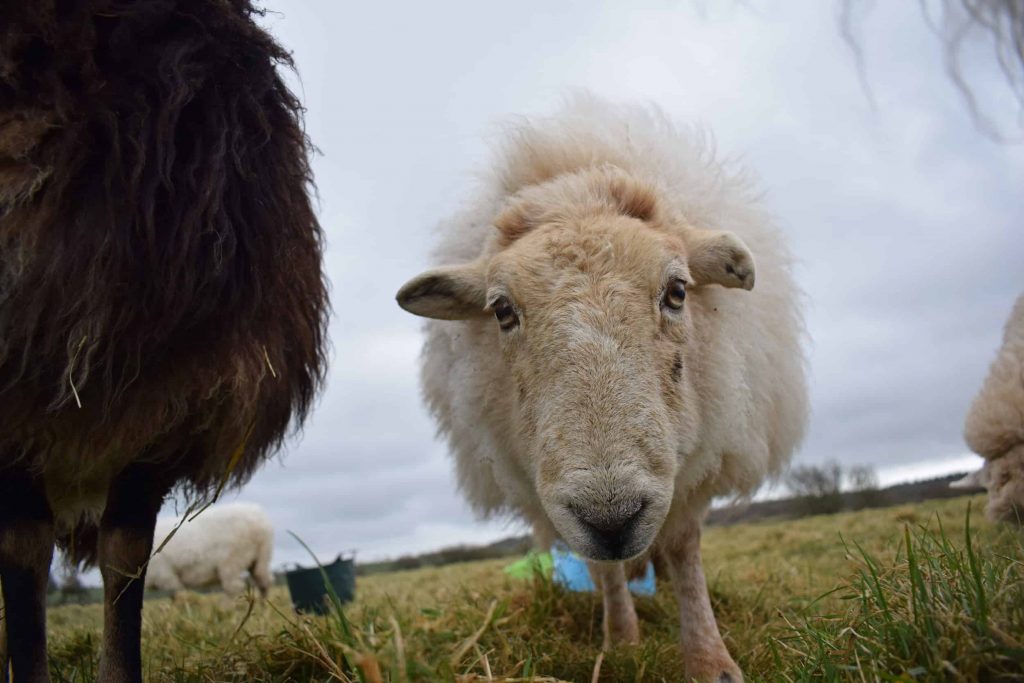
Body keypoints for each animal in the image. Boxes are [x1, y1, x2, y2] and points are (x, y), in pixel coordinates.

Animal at [145, 503, 275, 598]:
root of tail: (260, 519)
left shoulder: (165, 576)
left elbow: (180, 596)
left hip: (233, 559)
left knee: (234, 587)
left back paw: (227, 610)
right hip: (261, 556)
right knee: (264, 581)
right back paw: (263, 608)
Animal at [396, 96, 808, 682]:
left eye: (677, 290)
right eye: (501, 310)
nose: (612, 518)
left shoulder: (696, 460)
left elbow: (683, 548)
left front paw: (710, 661)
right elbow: (605, 570)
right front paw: (621, 644)